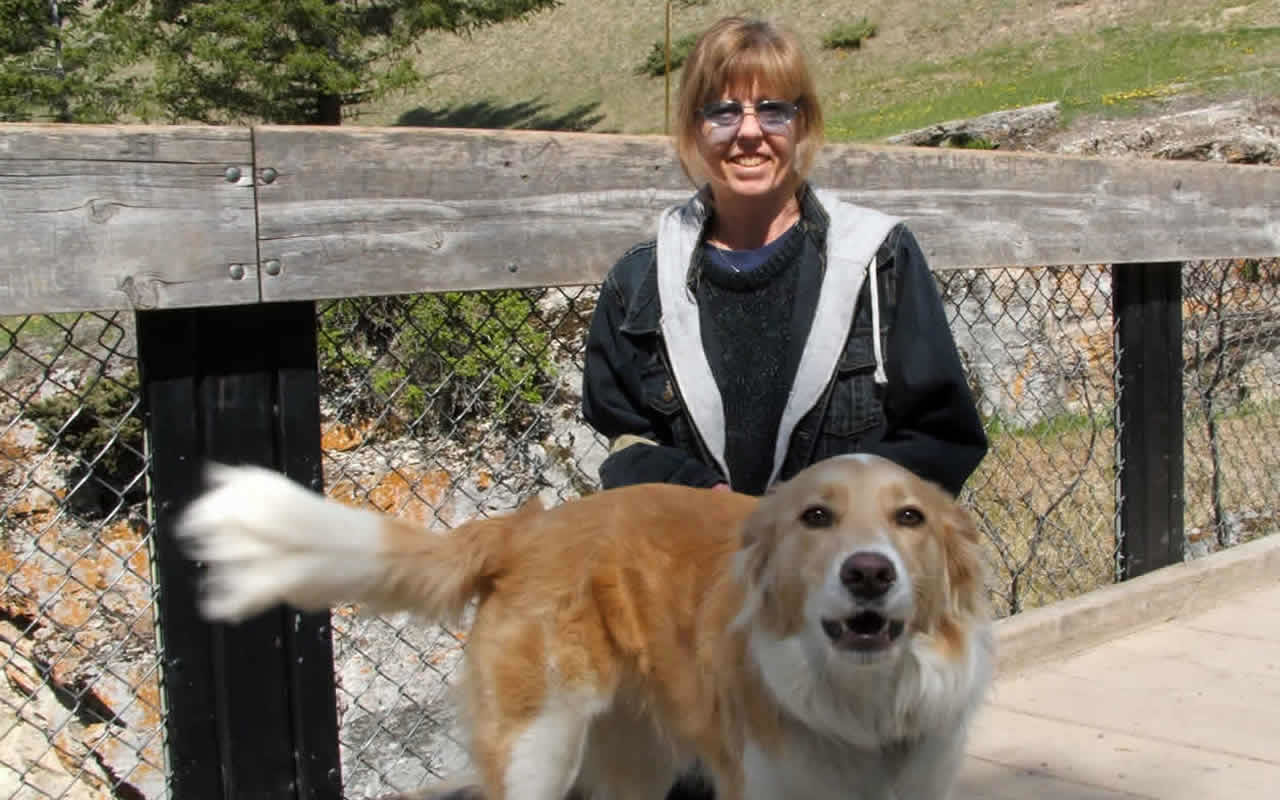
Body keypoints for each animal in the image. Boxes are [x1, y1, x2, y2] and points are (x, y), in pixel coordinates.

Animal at [175, 453, 993, 793]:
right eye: (815, 517)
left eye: (910, 518)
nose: (869, 572)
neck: (865, 706)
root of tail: (523, 529)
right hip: (537, 749)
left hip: (635, 760)